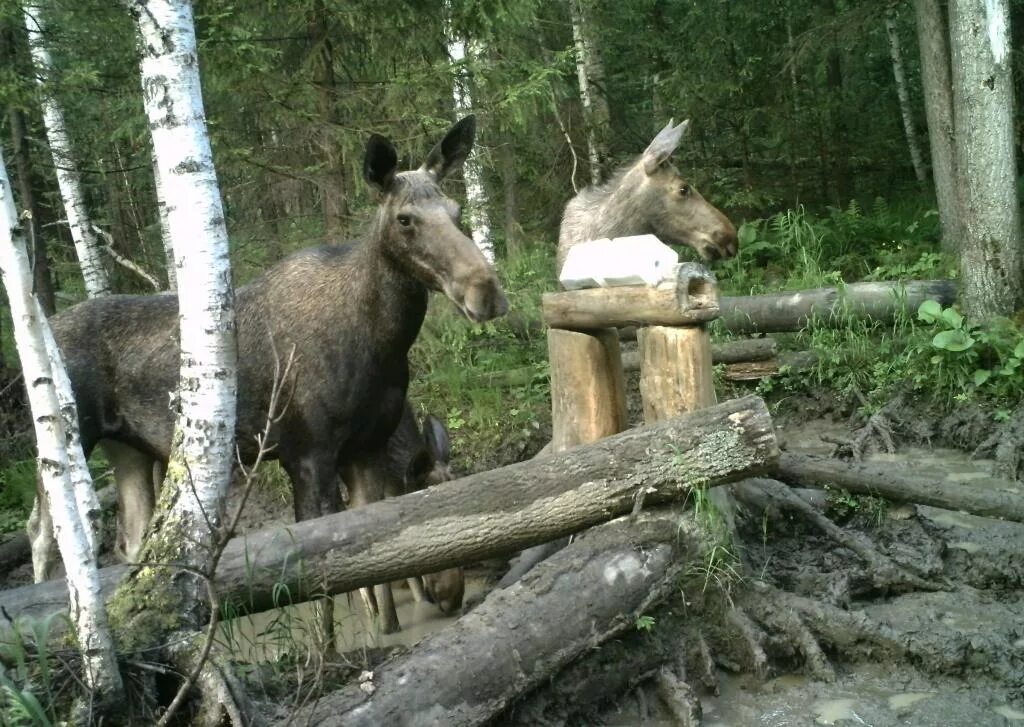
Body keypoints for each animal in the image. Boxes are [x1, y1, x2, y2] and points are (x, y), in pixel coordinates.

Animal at [27, 116, 499, 634]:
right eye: (405, 219)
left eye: (456, 210)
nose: (486, 290)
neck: (381, 344)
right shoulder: (308, 455)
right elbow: (320, 574)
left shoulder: (365, 449)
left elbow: (372, 548)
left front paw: (386, 629)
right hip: (62, 443)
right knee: (44, 535)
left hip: (129, 450)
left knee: (130, 542)